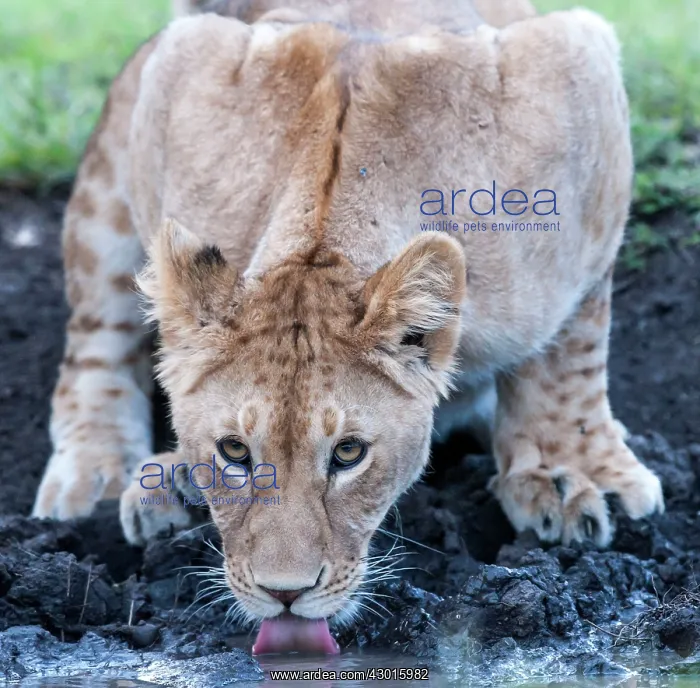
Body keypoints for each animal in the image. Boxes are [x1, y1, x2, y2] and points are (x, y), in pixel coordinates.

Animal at [32, 0, 663, 654]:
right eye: (233, 451)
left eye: (349, 453)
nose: (284, 593)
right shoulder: (180, 69)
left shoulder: (578, 75)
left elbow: (571, 352)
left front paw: (571, 475)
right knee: (94, 344)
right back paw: (121, 477)